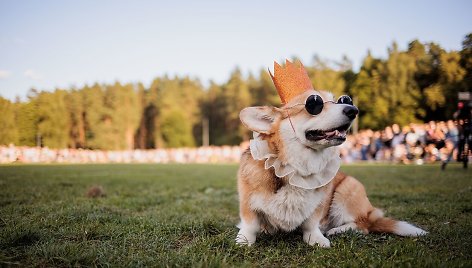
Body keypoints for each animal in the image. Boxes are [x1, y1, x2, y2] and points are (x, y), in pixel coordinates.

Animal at [234, 60, 426, 247]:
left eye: (342, 100)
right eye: (314, 104)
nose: (353, 110)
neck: (296, 167)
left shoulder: (318, 203)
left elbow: (311, 223)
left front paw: (316, 239)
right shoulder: (248, 203)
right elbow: (250, 224)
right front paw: (244, 240)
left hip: (348, 188)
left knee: (363, 224)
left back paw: (337, 230)